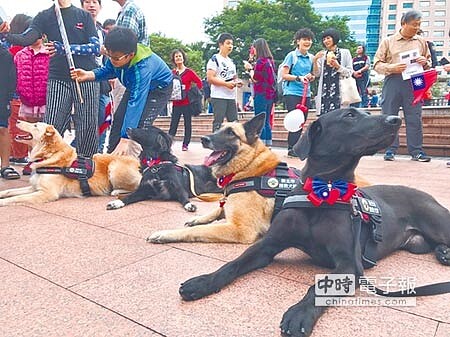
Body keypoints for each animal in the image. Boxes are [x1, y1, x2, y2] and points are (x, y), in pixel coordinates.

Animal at [0, 119, 141, 206]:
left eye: (35, 125)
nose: (17, 120)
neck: (48, 155)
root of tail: (138, 162)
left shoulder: (47, 193)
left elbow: (16, 197)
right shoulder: (34, 187)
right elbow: (9, 192)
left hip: (114, 167)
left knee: (136, 186)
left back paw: (116, 191)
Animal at [179, 107, 450, 336]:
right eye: (350, 115)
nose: (396, 120)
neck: (322, 192)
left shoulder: (349, 264)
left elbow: (319, 286)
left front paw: (300, 314)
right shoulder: (266, 245)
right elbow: (232, 264)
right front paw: (203, 281)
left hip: (438, 225)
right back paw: (443, 254)